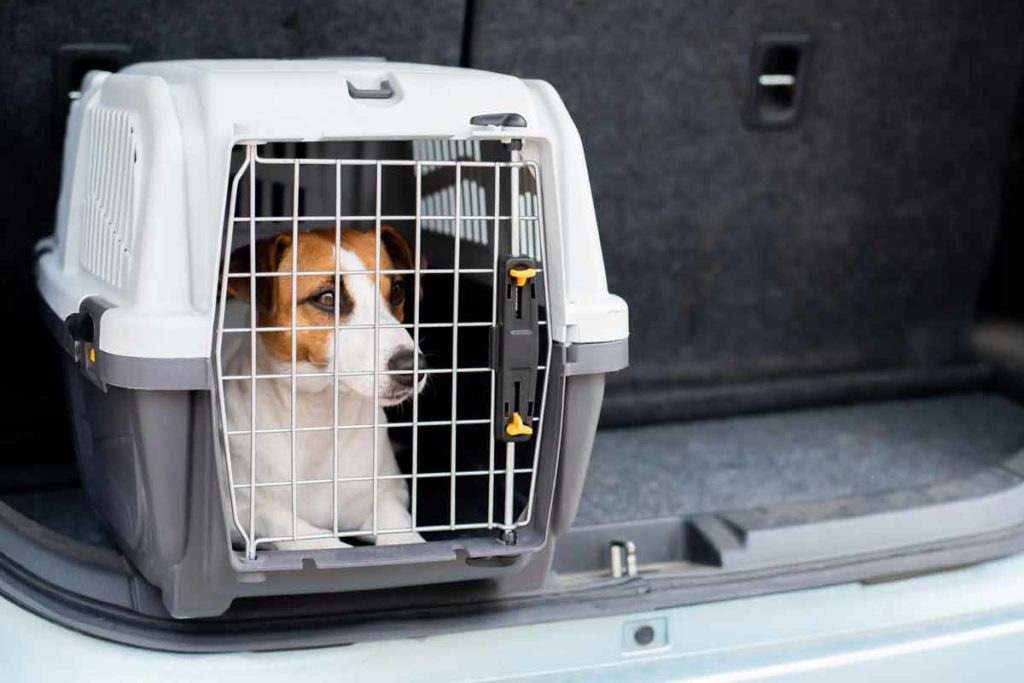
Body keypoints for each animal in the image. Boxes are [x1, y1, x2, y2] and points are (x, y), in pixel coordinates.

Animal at [224, 227, 428, 552]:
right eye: (328, 297)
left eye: (397, 288)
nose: (413, 367)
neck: (319, 418)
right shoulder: (243, 515)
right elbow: (294, 528)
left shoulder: (387, 496)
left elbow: (399, 526)